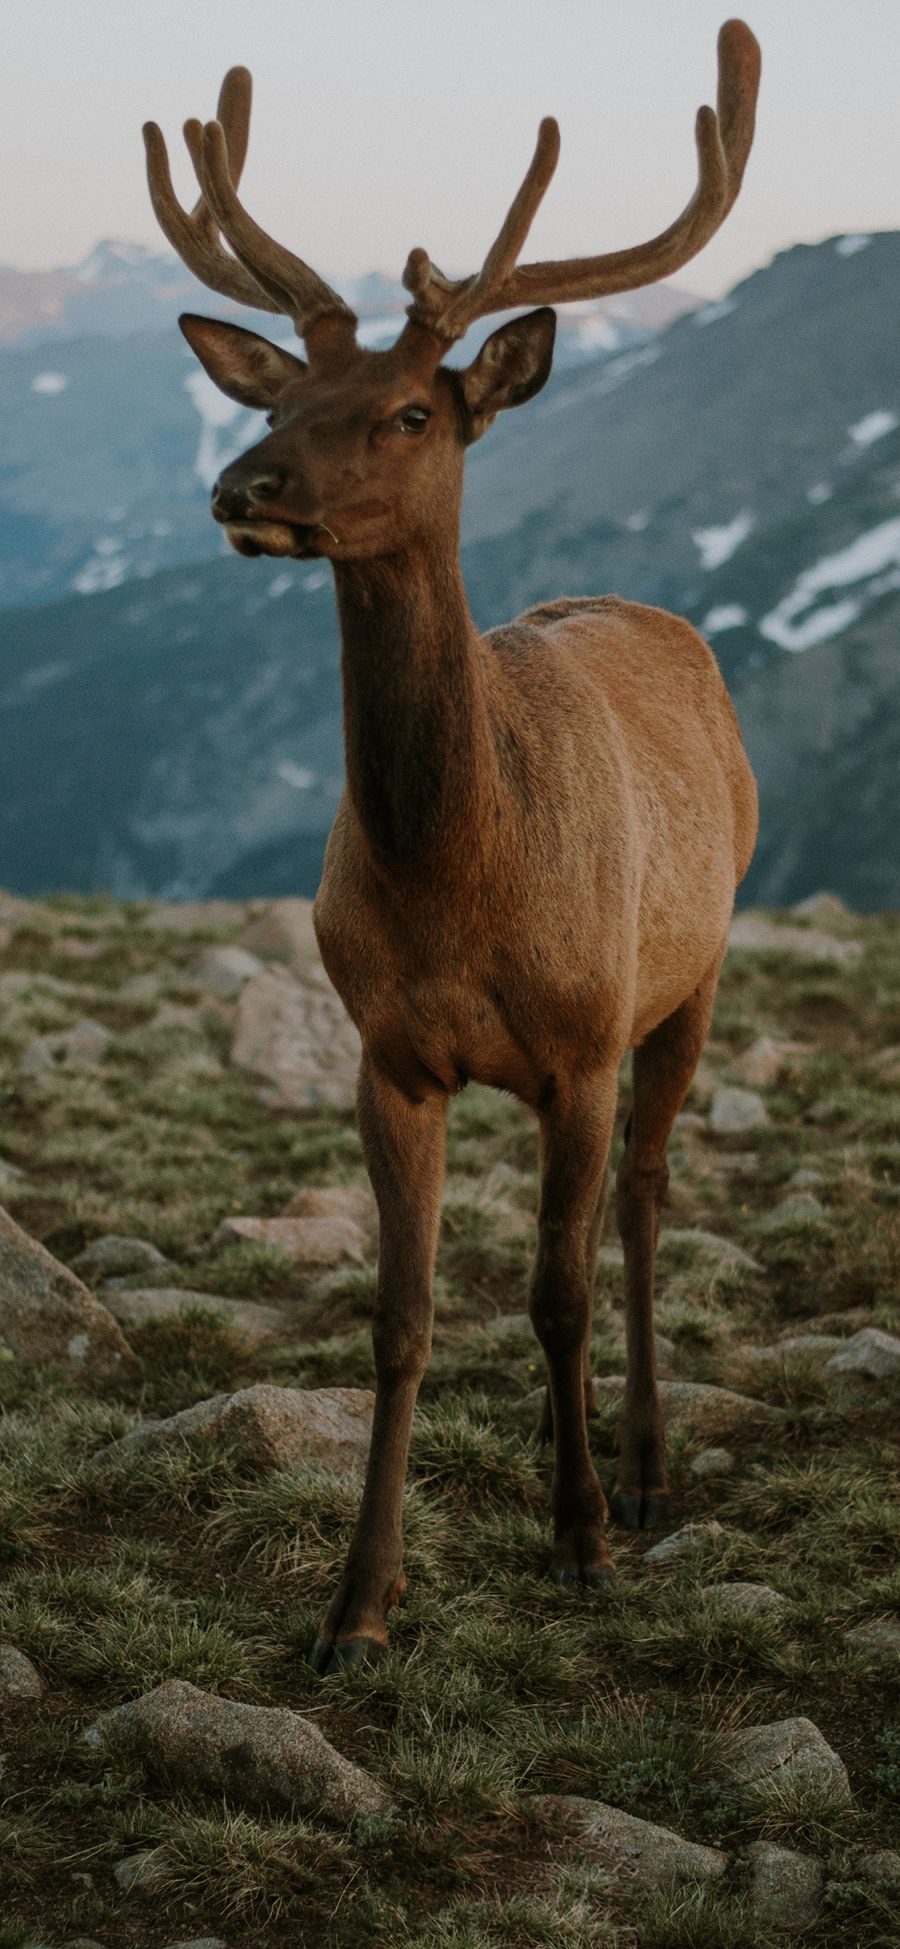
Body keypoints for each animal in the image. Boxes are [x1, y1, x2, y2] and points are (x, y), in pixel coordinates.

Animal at [146, 19, 759, 1676]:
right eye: (274, 405)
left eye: (413, 412)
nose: (241, 489)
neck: (459, 885)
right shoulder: (390, 1051)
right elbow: (402, 1318)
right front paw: (361, 1605)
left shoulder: (583, 1041)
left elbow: (553, 1291)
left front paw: (584, 1537)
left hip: (691, 974)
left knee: (644, 1200)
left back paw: (644, 1461)